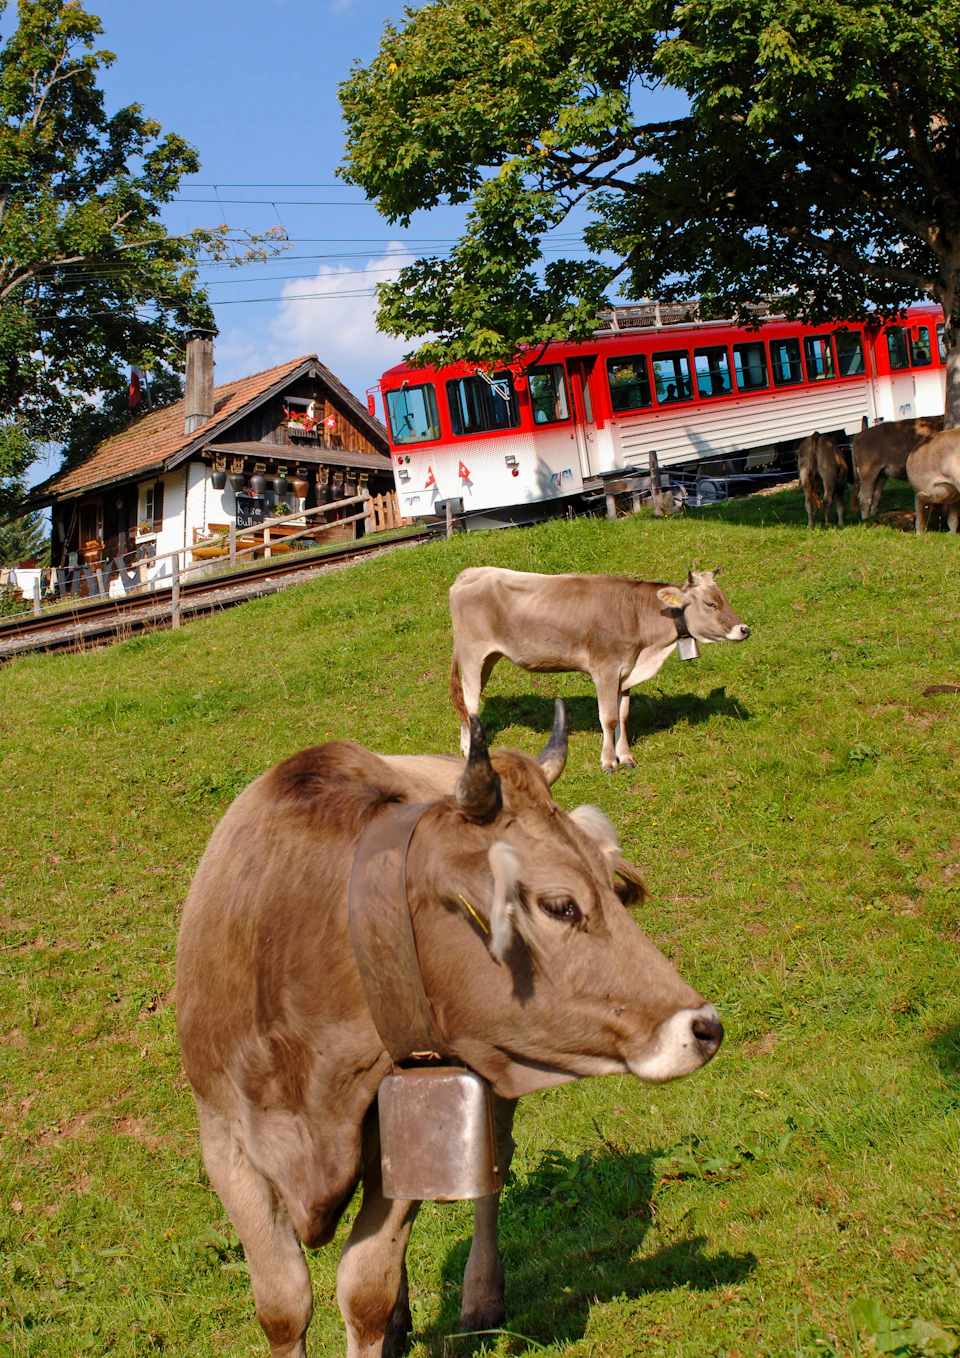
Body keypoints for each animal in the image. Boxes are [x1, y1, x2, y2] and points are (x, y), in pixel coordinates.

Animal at [177, 706, 723, 1357]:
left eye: (605, 880)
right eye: (560, 905)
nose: (705, 1026)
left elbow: (364, 1289)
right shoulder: (224, 1139)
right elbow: (284, 1306)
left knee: (491, 1172)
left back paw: (481, 1299)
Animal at [449, 566, 750, 773]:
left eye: (724, 598)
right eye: (710, 603)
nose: (744, 629)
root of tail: (470, 572)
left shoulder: (626, 673)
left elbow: (623, 716)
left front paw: (625, 757)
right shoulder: (605, 669)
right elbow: (609, 718)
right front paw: (608, 762)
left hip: (489, 658)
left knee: (467, 700)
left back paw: (465, 747)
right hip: (473, 654)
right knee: (471, 702)